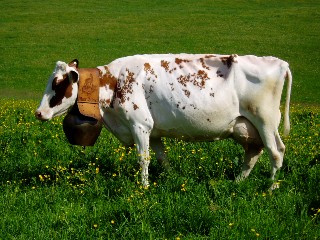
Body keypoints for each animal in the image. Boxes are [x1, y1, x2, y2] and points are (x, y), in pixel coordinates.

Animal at [35, 53, 292, 188]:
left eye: (58, 84)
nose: (38, 113)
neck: (114, 81)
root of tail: (279, 62)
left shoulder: (140, 125)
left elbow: (143, 159)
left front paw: (144, 188)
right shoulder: (154, 131)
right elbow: (161, 158)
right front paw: (172, 179)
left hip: (266, 121)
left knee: (276, 151)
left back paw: (269, 186)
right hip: (246, 126)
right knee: (254, 152)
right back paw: (237, 182)